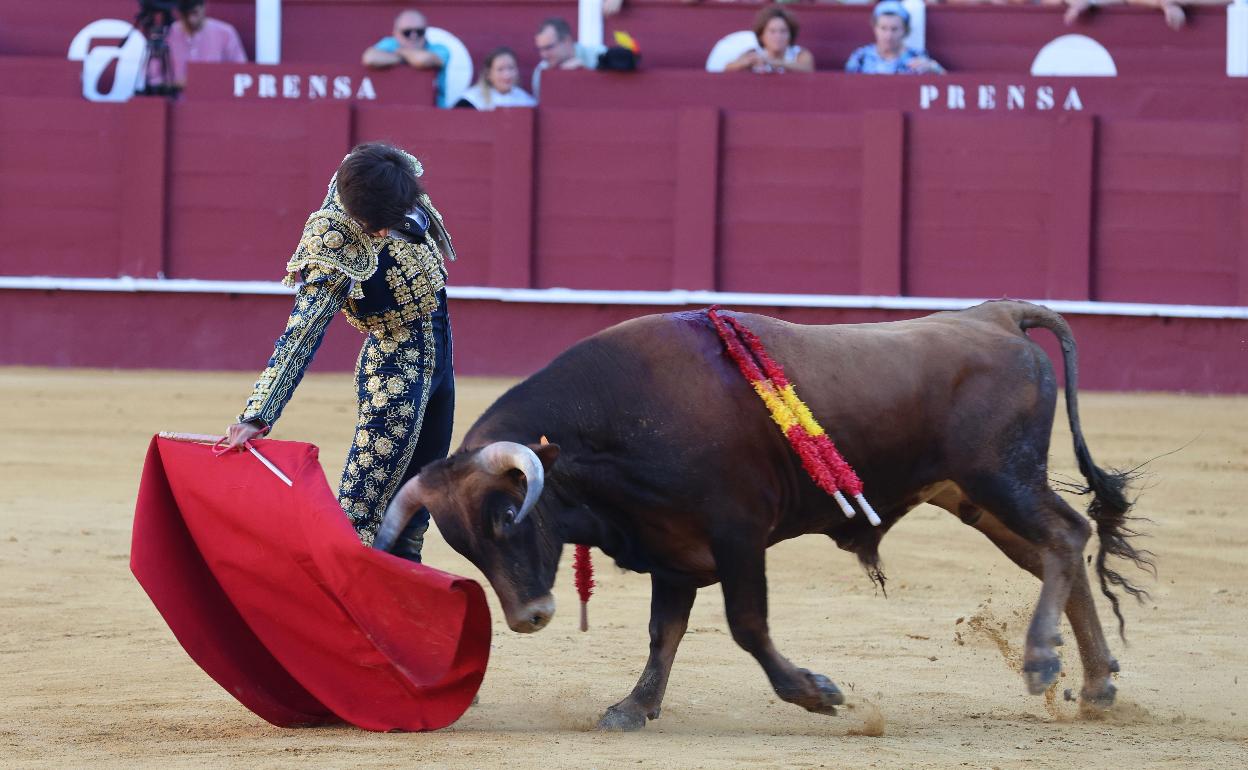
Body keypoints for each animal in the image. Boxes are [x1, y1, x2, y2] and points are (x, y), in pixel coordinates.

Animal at [371, 298, 1148, 728]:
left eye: (510, 518)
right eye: (464, 547)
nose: (530, 617)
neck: (616, 424)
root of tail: (996, 315)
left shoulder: (737, 533)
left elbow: (746, 624)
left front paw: (815, 692)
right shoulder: (671, 548)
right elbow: (663, 634)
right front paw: (634, 708)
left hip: (1002, 477)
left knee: (1067, 535)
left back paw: (1044, 663)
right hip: (977, 499)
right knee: (1059, 554)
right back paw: (1097, 683)